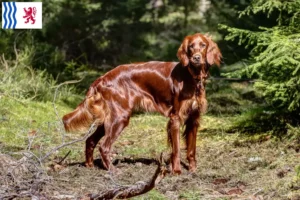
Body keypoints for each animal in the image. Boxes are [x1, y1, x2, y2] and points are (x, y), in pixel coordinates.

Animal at [62, 32, 221, 173]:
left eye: (203, 45)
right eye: (191, 46)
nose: (196, 58)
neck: (192, 77)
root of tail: (103, 78)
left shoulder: (194, 119)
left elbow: (191, 149)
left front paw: (193, 170)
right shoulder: (175, 118)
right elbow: (176, 149)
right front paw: (176, 171)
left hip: (110, 118)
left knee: (90, 140)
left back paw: (89, 165)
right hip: (120, 117)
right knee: (104, 146)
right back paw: (112, 170)